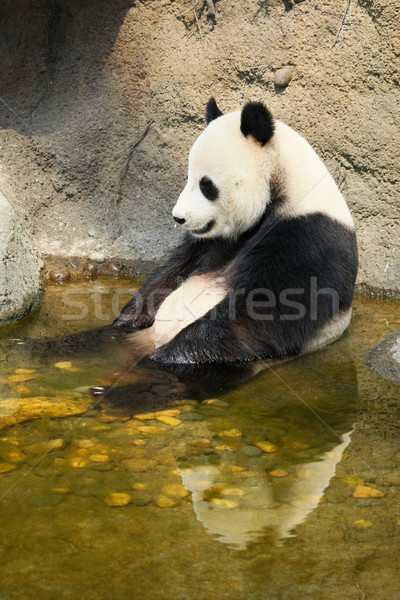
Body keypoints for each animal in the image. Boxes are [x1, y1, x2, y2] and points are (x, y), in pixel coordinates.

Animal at [113, 98, 360, 366]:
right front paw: (128, 318)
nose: (179, 217)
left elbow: (267, 311)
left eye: (206, 185)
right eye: (188, 178)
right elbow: (167, 276)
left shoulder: (310, 237)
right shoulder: (205, 243)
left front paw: (172, 355)